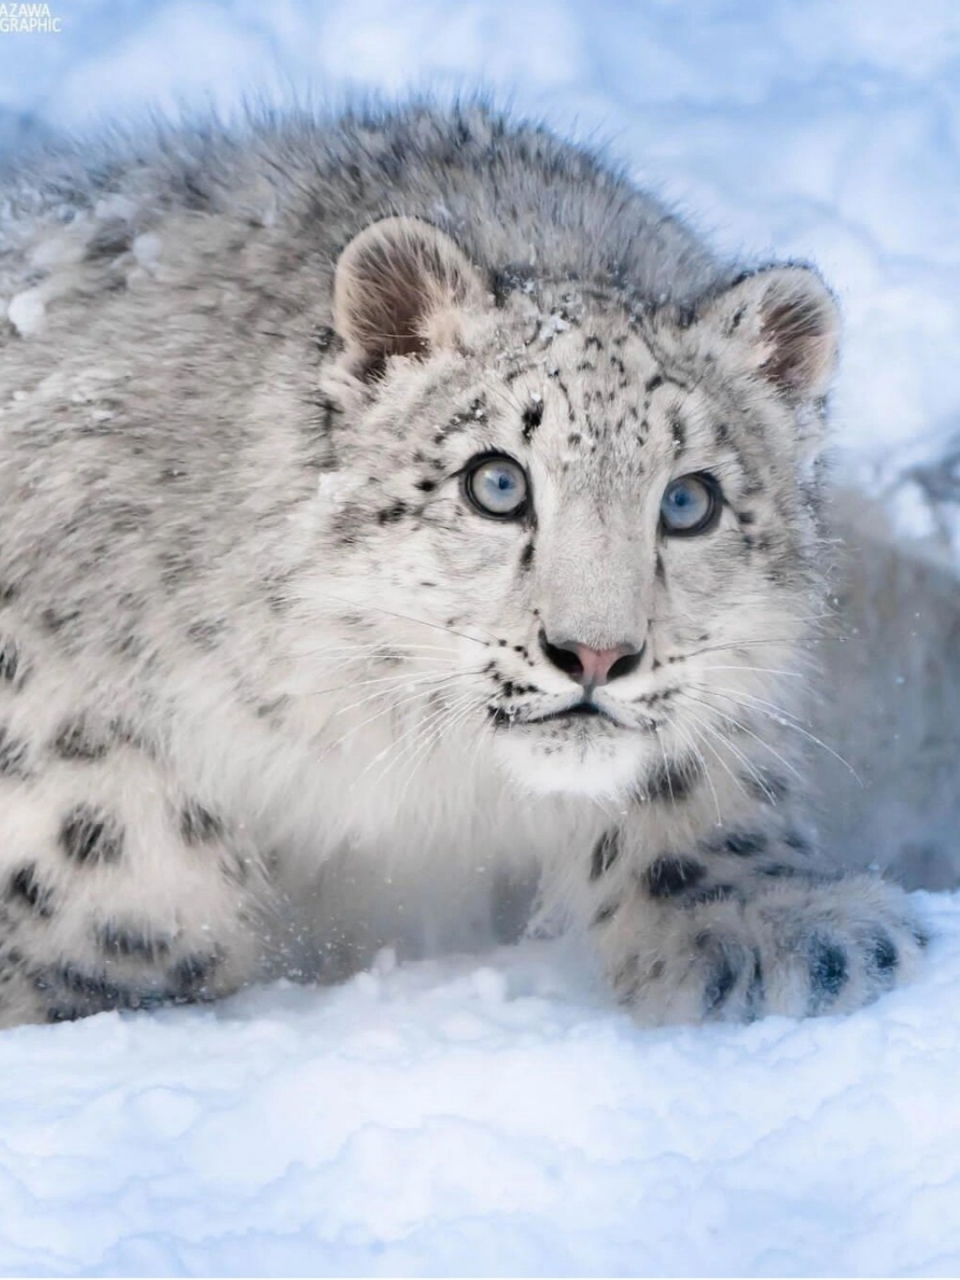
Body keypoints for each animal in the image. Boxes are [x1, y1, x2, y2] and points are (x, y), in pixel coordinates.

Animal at [1, 97, 931, 1029]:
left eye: (686, 501)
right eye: (497, 482)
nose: (596, 655)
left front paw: (780, 927)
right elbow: (95, 804)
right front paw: (119, 938)